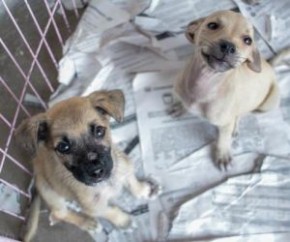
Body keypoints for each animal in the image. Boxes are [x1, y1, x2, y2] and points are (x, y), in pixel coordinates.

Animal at [16, 90, 153, 241]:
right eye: (63, 147)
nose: (97, 171)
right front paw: (124, 222)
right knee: (58, 214)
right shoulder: (94, 207)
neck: (107, 183)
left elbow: (132, 181)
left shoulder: (125, 167)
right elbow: (110, 211)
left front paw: (144, 190)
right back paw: (87, 223)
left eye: (99, 131)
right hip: (50, 192)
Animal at [171, 10, 280, 168]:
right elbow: (181, 101)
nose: (228, 47)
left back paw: (235, 127)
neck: (205, 81)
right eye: (212, 25)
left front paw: (223, 154)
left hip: (268, 103)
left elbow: (223, 139)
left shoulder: (224, 124)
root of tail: (270, 65)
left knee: (243, 113)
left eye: (247, 40)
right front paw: (180, 107)